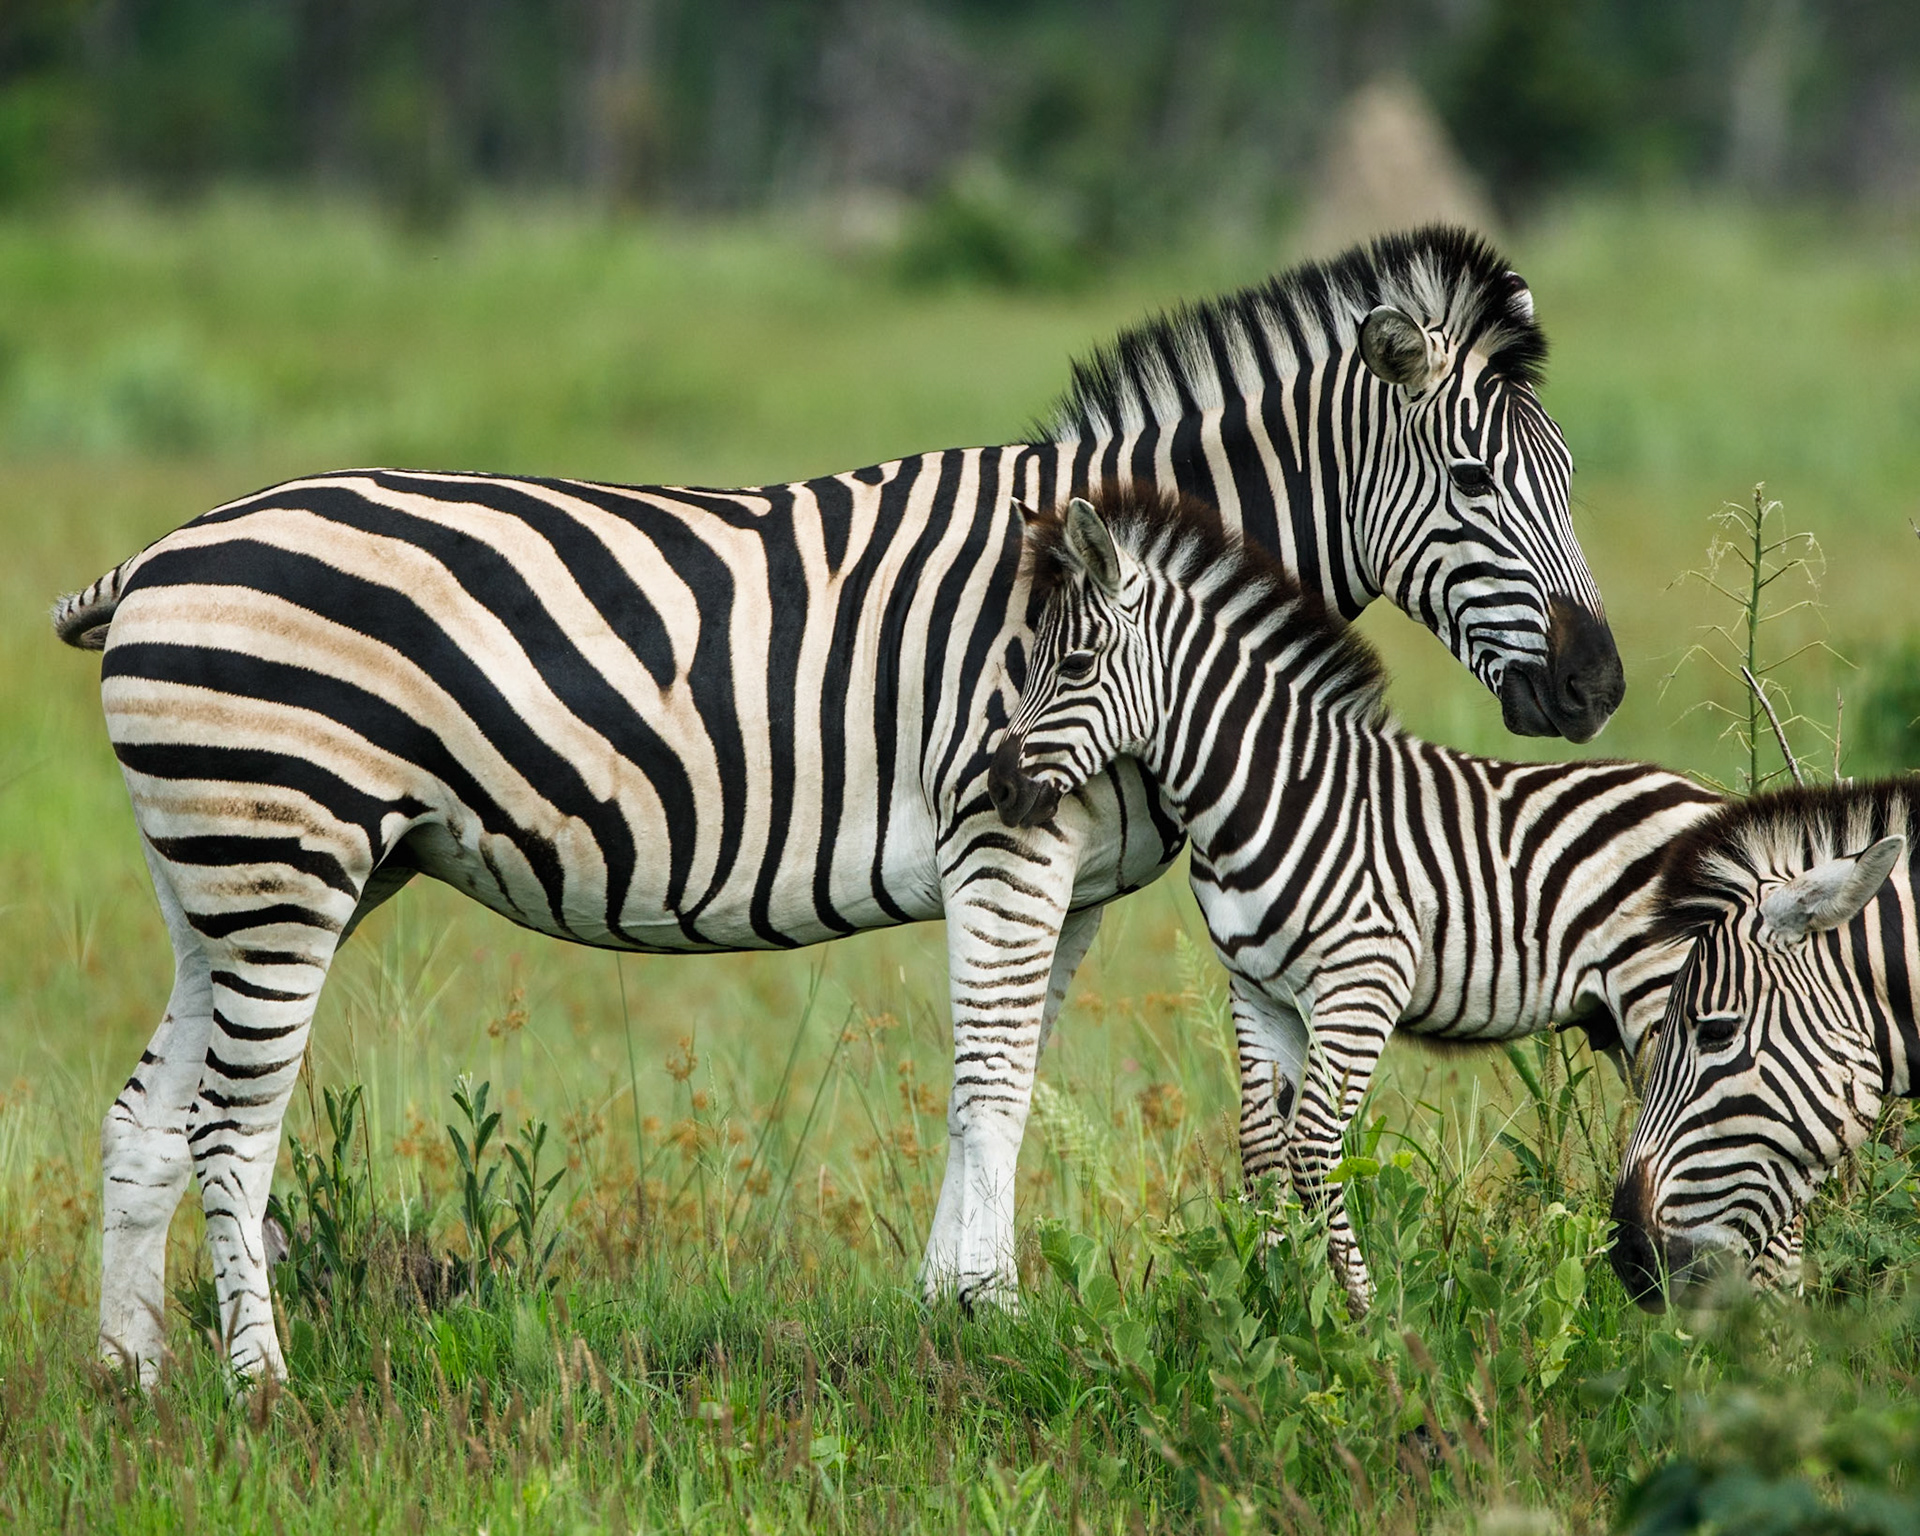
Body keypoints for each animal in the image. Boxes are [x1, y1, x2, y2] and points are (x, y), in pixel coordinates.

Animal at [55, 227, 1620, 1382]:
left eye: (1570, 477)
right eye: (1475, 477)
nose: (1598, 683)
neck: (1127, 592)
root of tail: (156, 556)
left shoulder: (1071, 874)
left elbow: (1012, 1077)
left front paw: (956, 1304)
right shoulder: (1005, 830)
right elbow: (990, 1080)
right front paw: (989, 1318)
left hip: (228, 880)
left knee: (149, 1115)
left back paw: (136, 1384)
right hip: (285, 863)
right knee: (230, 1128)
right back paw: (262, 1386)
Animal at [986, 489, 1721, 1313]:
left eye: (1075, 665)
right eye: (1032, 665)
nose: (1000, 788)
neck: (1266, 788)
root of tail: (1715, 807)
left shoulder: (1364, 983)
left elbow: (1314, 1152)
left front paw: (1364, 1314)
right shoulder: (1256, 989)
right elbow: (1262, 1150)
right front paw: (1273, 1303)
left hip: (1662, 1005)